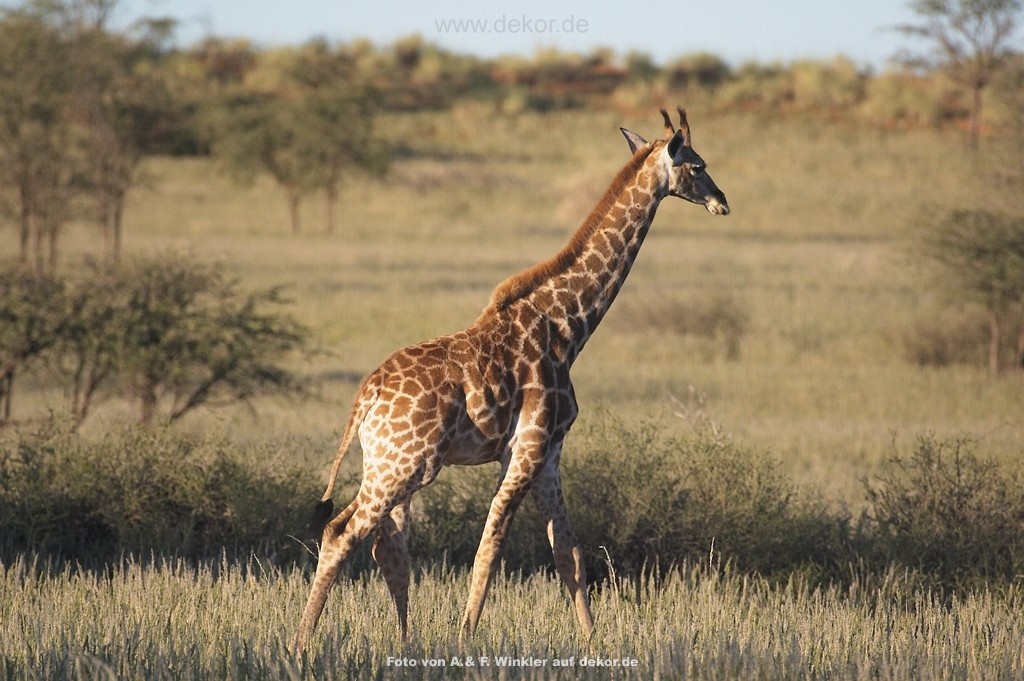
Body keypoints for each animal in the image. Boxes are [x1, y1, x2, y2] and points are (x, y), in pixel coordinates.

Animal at [295, 107, 729, 652]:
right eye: (698, 165)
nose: (722, 202)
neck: (567, 325)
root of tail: (367, 394)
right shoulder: (528, 448)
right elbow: (492, 544)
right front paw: (464, 639)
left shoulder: (549, 454)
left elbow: (569, 553)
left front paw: (594, 643)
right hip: (408, 465)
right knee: (343, 533)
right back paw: (300, 644)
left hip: (386, 462)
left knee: (382, 543)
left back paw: (400, 641)